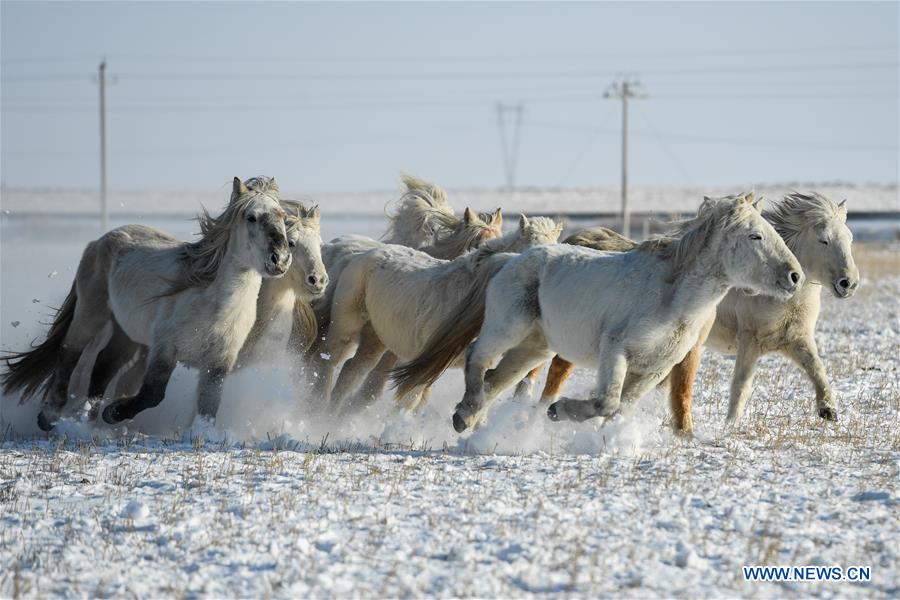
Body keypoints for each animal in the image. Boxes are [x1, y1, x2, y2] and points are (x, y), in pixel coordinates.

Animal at [2, 177, 292, 431]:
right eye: (251, 217)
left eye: (281, 217)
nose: (280, 259)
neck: (213, 303)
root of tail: (98, 241)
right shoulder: (164, 348)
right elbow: (153, 394)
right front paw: (114, 412)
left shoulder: (219, 363)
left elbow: (209, 406)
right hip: (91, 313)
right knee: (69, 352)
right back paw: (50, 417)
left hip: (126, 333)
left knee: (103, 367)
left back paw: (87, 422)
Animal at [324, 215, 564, 413]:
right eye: (532, 247)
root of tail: (360, 254)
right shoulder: (425, 360)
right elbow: (410, 399)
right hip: (347, 329)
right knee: (331, 362)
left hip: (376, 340)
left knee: (351, 370)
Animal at [391, 193, 804, 433]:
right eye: (755, 236)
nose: (795, 277)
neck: (672, 298)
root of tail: (510, 259)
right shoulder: (616, 350)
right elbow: (607, 401)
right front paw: (558, 411)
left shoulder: (656, 368)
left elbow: (621, 408)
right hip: (507, 329)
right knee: (479, 358)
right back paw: (466, 415)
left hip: (535, 349)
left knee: (498, 379)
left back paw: (470, 419)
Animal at [520, 191, 858, 431]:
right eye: (823, 239)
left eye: (850, 238)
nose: (849, 283)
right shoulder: (749, 343)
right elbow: (738, 387)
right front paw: (727, 427)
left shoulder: (797, 340)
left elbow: (817, 369)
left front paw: (828, 410)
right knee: (550, 372)